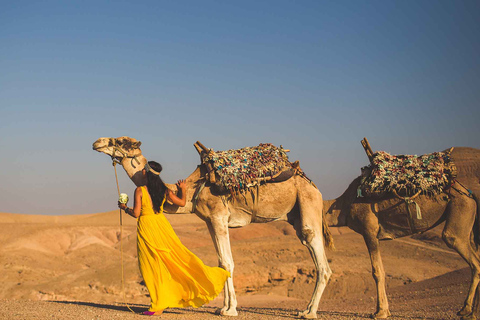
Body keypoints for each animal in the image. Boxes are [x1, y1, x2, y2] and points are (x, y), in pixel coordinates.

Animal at [93, 136, 334, 318]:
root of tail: (313, 185)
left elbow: (228, 262)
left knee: (320, 258)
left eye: (122, 141)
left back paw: (309, 312)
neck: (193, 189)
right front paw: (223, 307)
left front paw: (231, 310)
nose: (97, 142)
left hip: (307, 203)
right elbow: (221, 262)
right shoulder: (210, 221)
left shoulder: (219, 217)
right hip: (296, 214)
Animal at [322, 146, 480, 320]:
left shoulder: (369, 230)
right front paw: (384, 310)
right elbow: (380, 269)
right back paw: (471, 311)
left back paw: (467, 310)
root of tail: (470, 193)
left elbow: (377, 271)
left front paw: (381, 312)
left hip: (461, 207)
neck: (343, 204)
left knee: (462, 249)